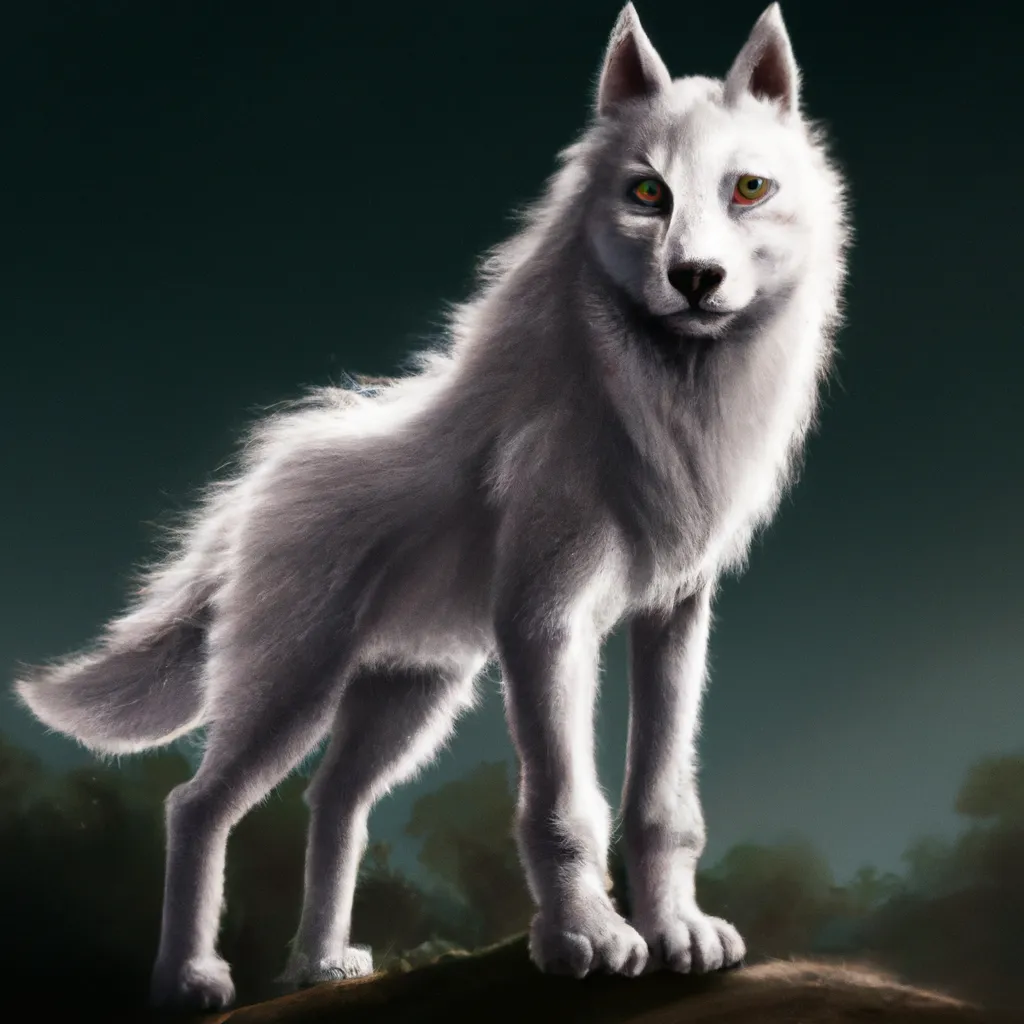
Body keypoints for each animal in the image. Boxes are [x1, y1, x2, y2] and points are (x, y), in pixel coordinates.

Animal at [13, 2, 849, 1011]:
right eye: (648, 193)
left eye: (749, 190)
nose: (695, 277)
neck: (658, 406)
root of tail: (255, 483)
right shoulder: (546, 622)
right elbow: (565, 805)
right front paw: (585, 938)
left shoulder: (673, 617)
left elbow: (660, 803)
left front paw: (676, 930)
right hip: (291, 693)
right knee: (196, 805)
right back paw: (189, 980)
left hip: (410, 701)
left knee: (333, 804)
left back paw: (320, 964)